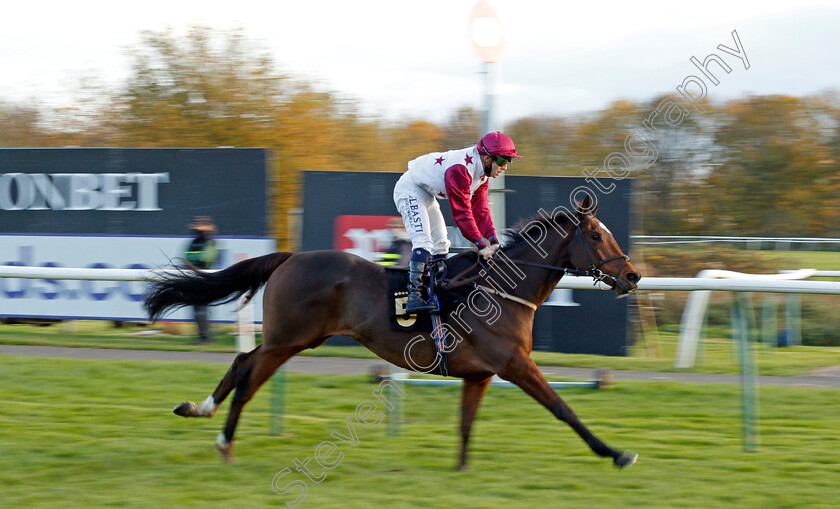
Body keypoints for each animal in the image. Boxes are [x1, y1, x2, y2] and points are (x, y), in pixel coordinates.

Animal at [146, 194, 644, 468]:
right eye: (596, 236)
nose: (633, 276)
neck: (503, 288)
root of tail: (289, 256)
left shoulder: (479, 374)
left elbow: (466, 424)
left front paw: (460, 471)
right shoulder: (514, 364)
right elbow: (563, 408)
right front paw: (617, 453)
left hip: (295, 339)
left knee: (241, 362)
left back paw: (199, 409)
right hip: (288, 338)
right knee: (248, 374)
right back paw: (223, 440)